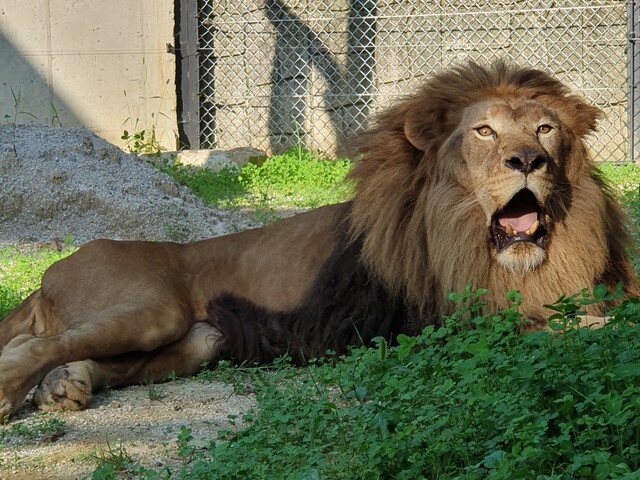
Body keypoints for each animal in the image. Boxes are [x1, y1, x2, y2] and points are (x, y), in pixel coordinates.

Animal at [0, 61, 636, 420]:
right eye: (484, 131)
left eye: (545, 129)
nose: (527, 160)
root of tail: (53, 271)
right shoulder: (451, 321)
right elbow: (593, 323)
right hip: (152, 307)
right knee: (32, 345)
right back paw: (15, 391)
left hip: (200, 338)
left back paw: (64, 388)